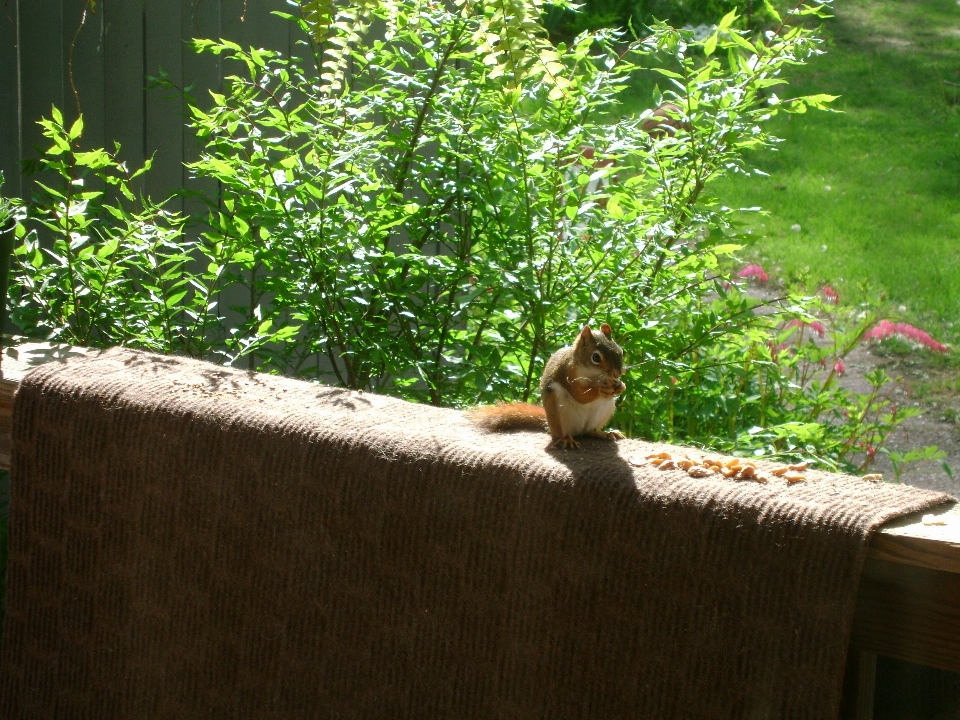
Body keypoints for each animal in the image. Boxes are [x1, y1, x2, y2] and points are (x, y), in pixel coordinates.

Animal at [468, 324, 628, 448]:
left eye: (621, 351)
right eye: (596, 357)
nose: (617, 373)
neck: (594, 376)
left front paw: (621, 386)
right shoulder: (567, 373)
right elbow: (580, 395)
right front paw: (601, 389)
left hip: (605, 410)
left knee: (591, 431)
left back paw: (606, 433)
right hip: (558, 411)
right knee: (562, 433)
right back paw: (567, 440)